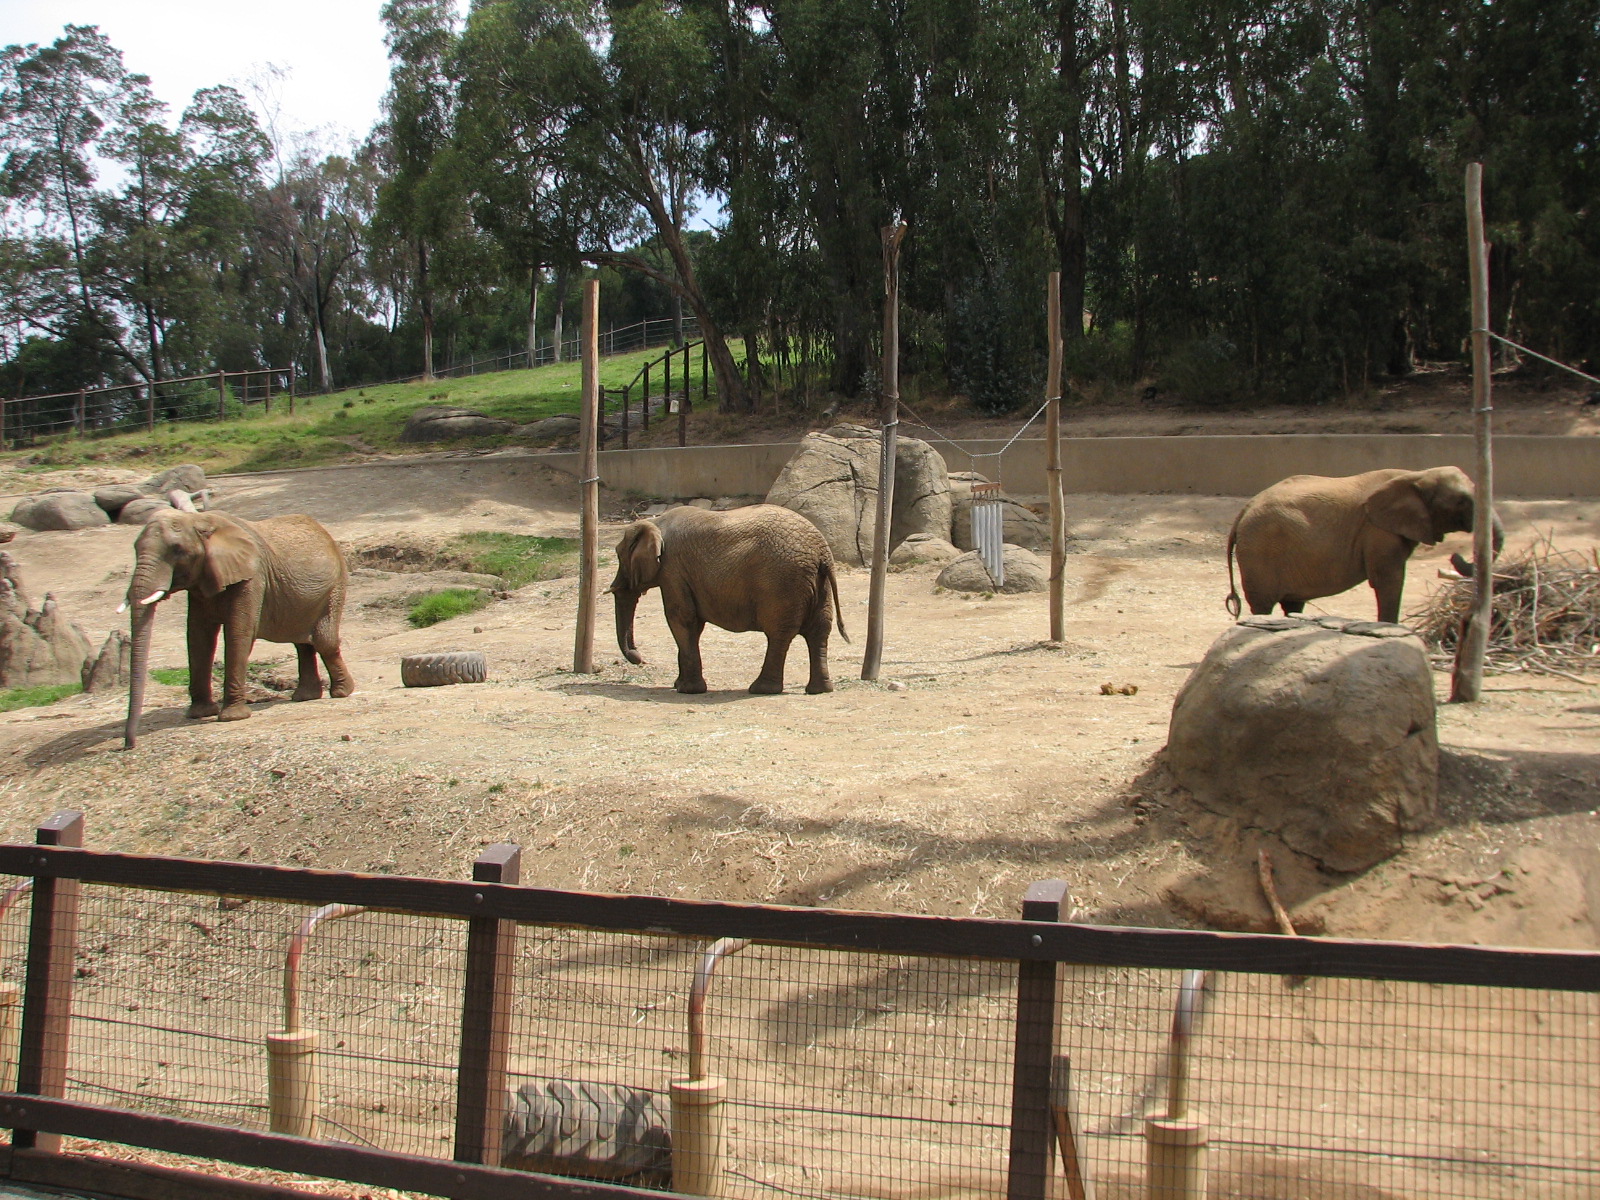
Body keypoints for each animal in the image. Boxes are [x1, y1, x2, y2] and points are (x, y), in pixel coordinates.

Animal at [122, 504, 354, 748]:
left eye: (177, 550)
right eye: (135, 547)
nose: (129, 745)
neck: (199, 521)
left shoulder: (252, 577)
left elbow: (238, 633)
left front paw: (231, 717)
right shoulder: (201, 582)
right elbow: (198, 636)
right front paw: (199, 714)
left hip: (334, 587)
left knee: (324, 641)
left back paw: (341, 693)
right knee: (302, 643)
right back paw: (304, 697)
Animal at [609, 504, 849, 695]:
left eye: (619, 555)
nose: (641, 659)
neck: (655, 522)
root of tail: (822, 552)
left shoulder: (673, 570)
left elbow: (681, 620)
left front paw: (687, 690)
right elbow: (692, 625)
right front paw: (679, 685)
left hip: (782, 582)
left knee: (779, 634)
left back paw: (761, 689)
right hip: (818, 583)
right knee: (819, 631)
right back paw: (820, 690)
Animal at [1224, 466, 1503, 624]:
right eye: (1462, 502)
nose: (1455, 556)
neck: (1416, 475)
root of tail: (1243, 511)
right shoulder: (1377, 531)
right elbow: (1389, 580)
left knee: (1292, 603)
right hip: (1260, 549)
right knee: (1263, 603)